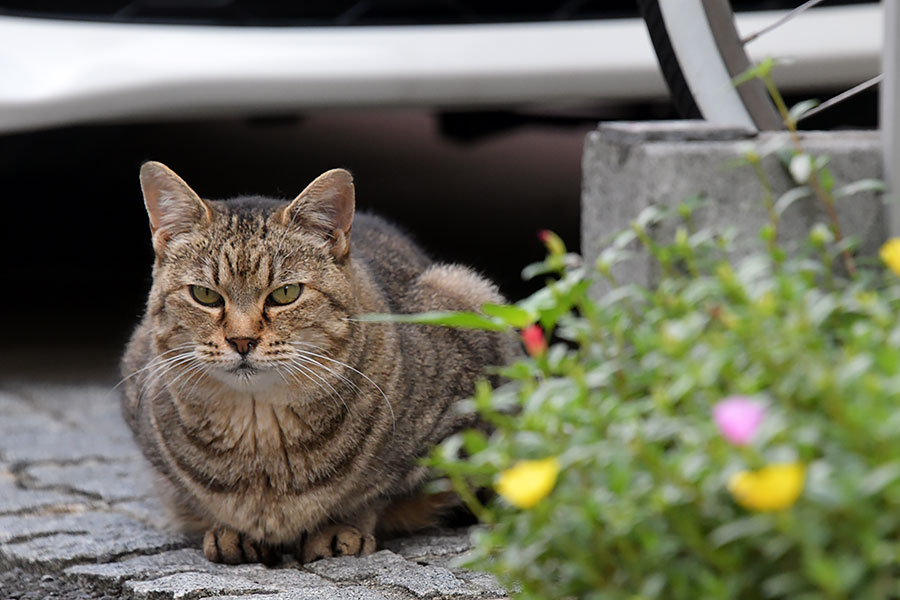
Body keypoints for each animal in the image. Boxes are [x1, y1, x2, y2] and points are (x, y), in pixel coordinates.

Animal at [121, 162, 512, 564]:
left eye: (285, 293)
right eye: (205, 295)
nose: (242, 340)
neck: (261, 436)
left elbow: (378, 492)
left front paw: (341, 527)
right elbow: (194, 496)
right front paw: (231, 530)